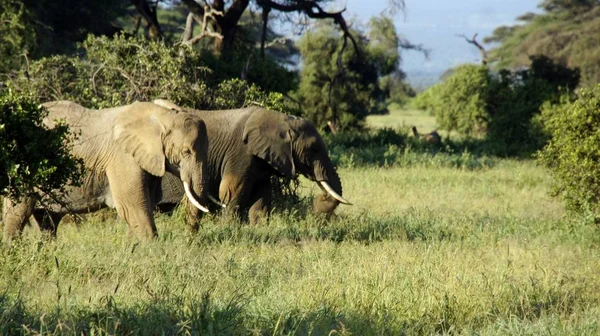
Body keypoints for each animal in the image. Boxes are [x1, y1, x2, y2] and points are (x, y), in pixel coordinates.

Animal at [1, 100, 211, 242]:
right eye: (186, 152)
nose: (188, 240)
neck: (163, 116)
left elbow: (142, 206)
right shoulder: (123, 158)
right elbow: (133, 207)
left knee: (47, 221)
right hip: (23, 169)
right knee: (18, 212)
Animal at [152, 100, 354, 226]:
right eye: (314, 149)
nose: (320, 199)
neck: (282, 120)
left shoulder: (262, 161)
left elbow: (262, 196)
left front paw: (259, 228)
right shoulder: (241, 154)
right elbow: (231, 191)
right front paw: (229, 230)